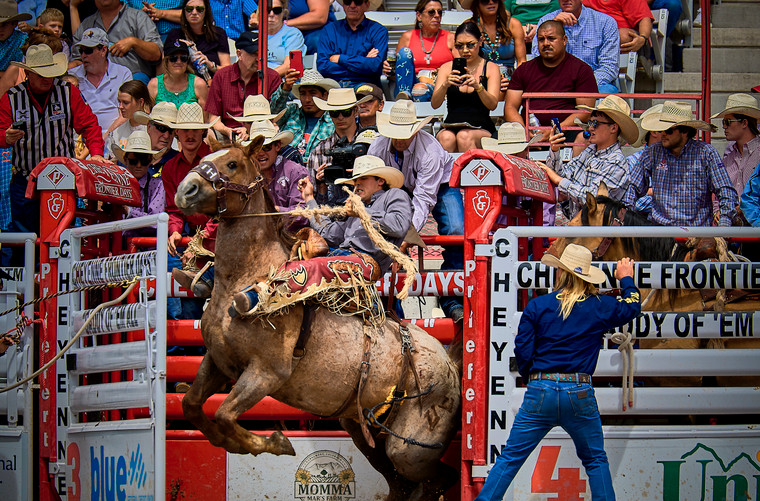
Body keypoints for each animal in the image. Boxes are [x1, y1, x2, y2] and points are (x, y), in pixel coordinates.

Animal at [173, 137, 464, 500]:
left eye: (232, 164)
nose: (185, 190)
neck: (244, 277)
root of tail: (450, 363)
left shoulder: (267, 373)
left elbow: (225, 415)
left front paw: (278, 443)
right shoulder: (217, 361)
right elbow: (192, 406)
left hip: (411, 448)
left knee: (435, 477)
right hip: (362, 431)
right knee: (402, 483)